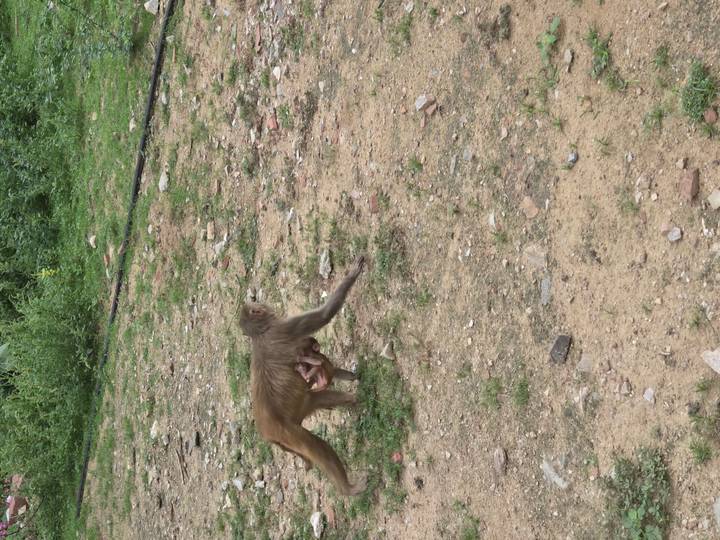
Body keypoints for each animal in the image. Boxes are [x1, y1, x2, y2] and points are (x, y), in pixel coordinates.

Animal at [238, 256, 366, 496]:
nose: (258, 303)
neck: (259, 335)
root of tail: (267, 434)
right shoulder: (284, 329)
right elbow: (324, 315)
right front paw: (353, 274)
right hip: (289, 433)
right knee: (317, 447)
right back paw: (347, 489)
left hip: (302, 409)